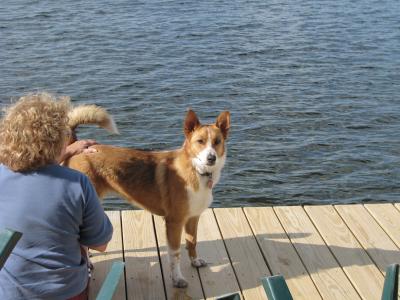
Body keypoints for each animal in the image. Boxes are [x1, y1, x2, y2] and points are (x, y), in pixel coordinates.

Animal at [64, 106, 230, 288]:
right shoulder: (174, 222)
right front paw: (177, 278)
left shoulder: (193, 217)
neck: (196, 170)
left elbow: (192, 242)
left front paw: (195, 261)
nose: (211, 158)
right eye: (200, 141)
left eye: (217, 141)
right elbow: (175, 255)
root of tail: (76, 145)